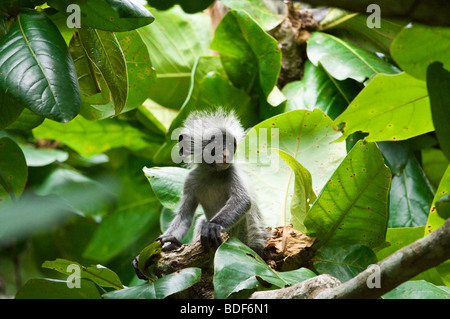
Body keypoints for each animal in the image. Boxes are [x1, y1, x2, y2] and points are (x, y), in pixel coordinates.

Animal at [156, 109, 268, 256]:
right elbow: (184, 218)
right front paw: (168, 242)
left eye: (231, 145)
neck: (212, 174)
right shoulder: (190, 180)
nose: (226, 154)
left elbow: (243, 201)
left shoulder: (232, 171)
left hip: (243, 240)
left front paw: (213, 225)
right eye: (217, 145)